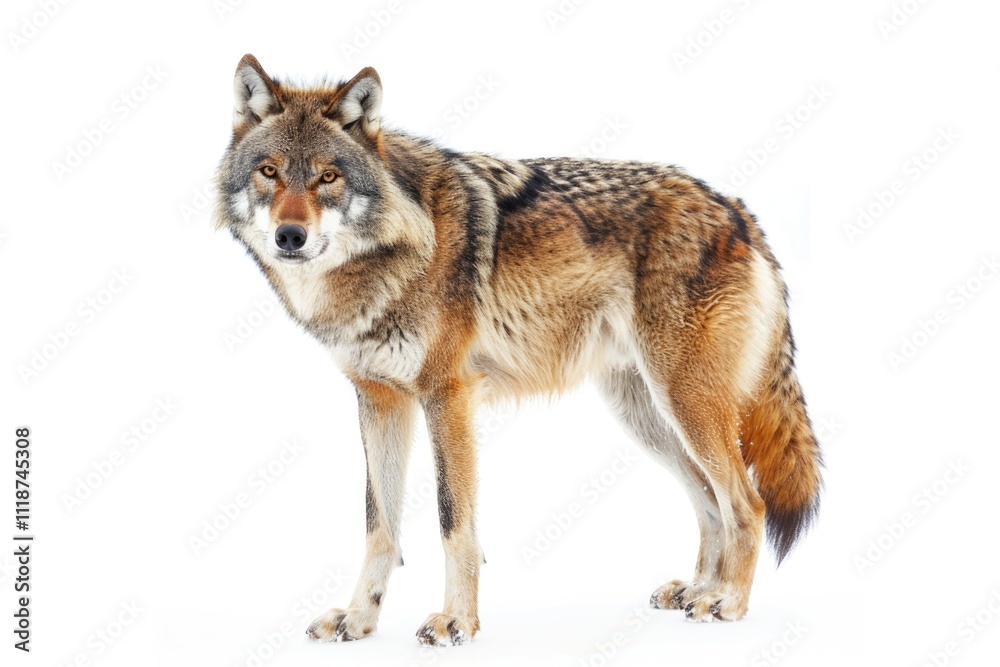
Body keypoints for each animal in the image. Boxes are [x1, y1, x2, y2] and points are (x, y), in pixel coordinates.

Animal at [214, 54, 823, 646]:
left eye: (328, 176)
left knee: (747, 504)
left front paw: (457, 622)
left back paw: (728, 602)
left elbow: (453, 523)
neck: (394, 249)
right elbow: (379, 525)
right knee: (711, 503)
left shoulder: (448, 398)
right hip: (648, 415)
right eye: (269, 172)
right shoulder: (378, 399)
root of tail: (736, 208)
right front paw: (360, 619)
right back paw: (698, 590)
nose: (289, 236)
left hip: (685, 403)